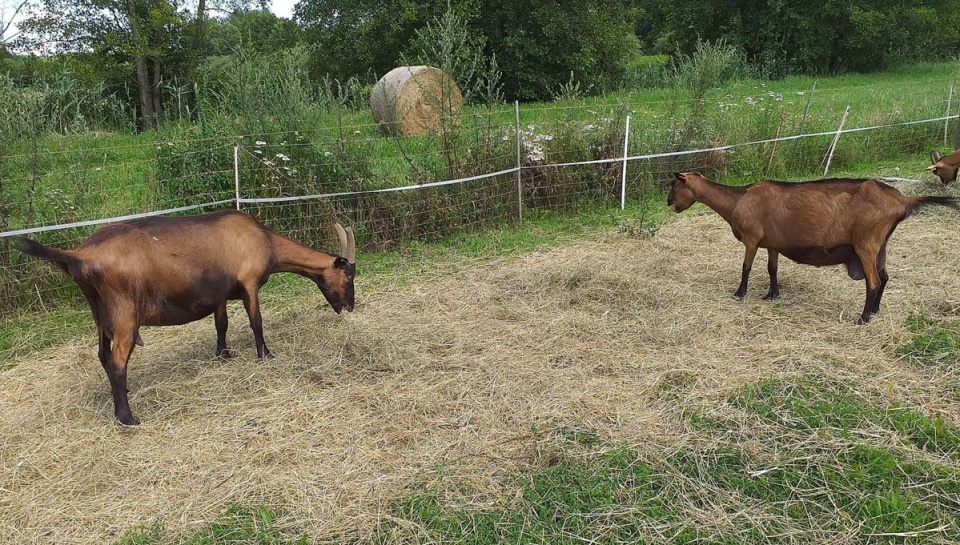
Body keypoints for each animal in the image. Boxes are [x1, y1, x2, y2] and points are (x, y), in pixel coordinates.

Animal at [17, 209, 356, 424]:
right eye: (350, 275)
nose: (350, 306)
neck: (264, 240)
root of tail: (81, 256)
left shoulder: (219, 294)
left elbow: (222, 324)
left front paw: (223, 354)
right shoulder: (248, 283)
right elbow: (255, 321)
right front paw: (266, 355)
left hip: (100, 313)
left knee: (102, 355)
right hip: (125, 312)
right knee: (116, 361)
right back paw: (127, 417)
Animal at [668, 170, 960, 324]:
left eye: (673, 185)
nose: (668, 202)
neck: (738, 199)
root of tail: (902, 200)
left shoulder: (752, 239)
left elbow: (746, 267)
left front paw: (740, 293)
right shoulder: (771, 243)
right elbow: (772, 268)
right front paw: (772, 294)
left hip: (866, 244)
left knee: (874, 281)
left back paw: (863, 317)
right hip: (881, 246)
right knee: (885, 276)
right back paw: (876, 310)